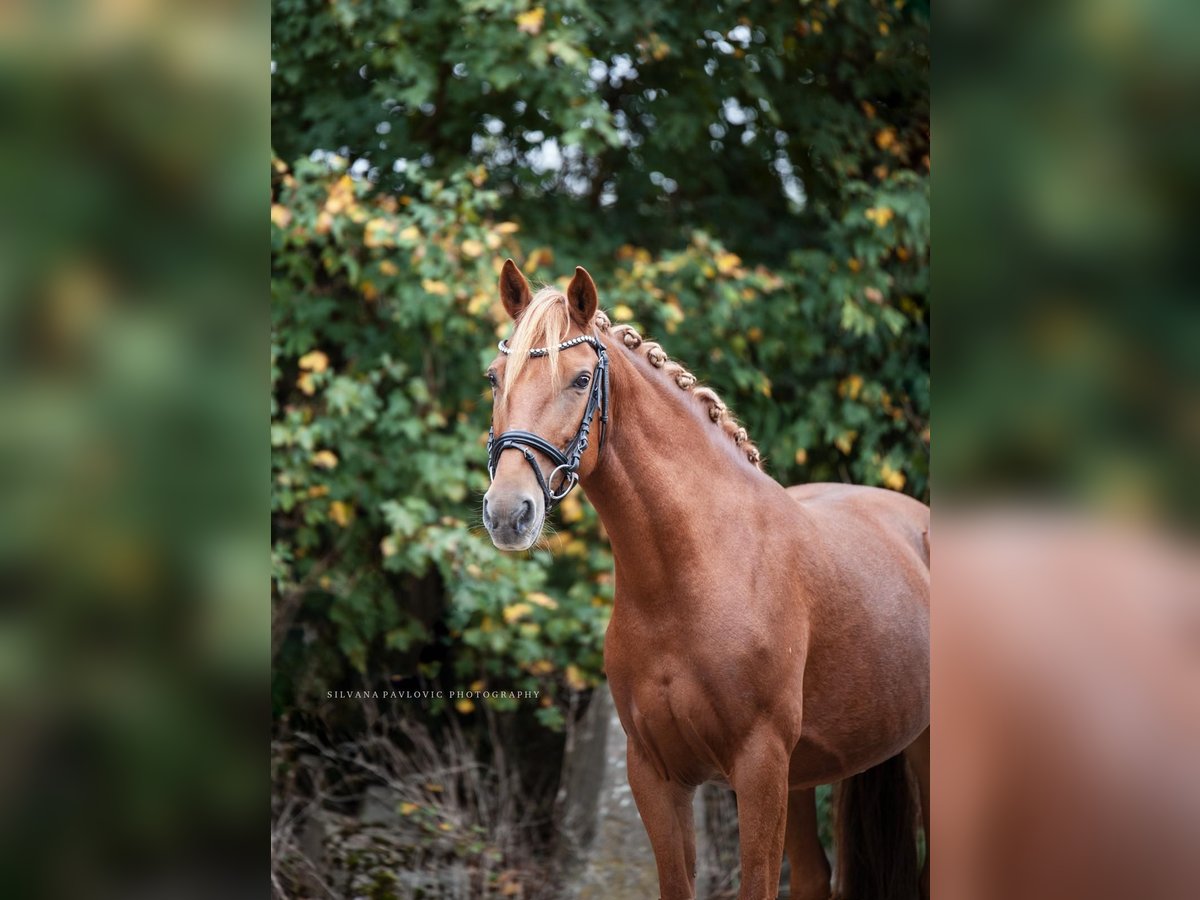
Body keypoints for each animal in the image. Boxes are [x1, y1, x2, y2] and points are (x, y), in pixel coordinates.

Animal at [482, 256, 931, 897]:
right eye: (495, 379)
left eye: (579, 380)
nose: (507, 512)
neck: (689, 576)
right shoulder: (655, 775)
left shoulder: (760, 768)